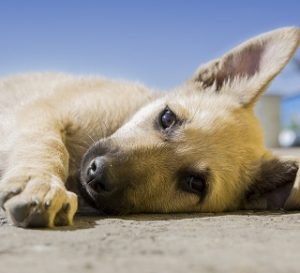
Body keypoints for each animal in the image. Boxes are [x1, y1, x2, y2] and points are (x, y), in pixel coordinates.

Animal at [0, 26, 298, 226]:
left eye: (195, 183)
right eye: (167, 118)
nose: (98, 173)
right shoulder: (42, 111)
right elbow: (48, 145)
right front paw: (40, 184)